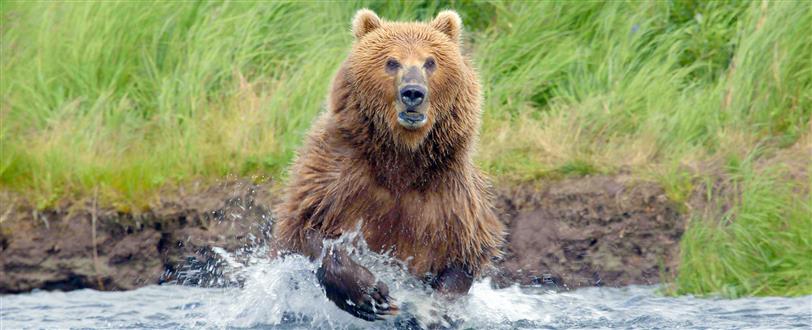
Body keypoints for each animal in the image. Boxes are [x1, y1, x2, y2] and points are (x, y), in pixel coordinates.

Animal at [274, 9, 502, 320]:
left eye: (430, 61)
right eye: (392, 62)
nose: (413, 93)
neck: (401, 157)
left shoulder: (450, 200)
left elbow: (464, 256)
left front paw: (434, 309)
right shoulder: (335, 179)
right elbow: (306, 229)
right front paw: (370, 293)